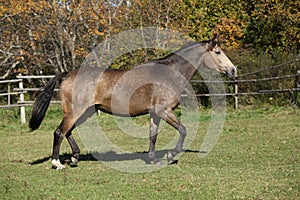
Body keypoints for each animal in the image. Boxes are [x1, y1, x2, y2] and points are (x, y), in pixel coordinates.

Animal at [29, 34, 237, 169]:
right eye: (218, 52)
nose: (233, 70)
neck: (169, 73)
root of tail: (67, 74)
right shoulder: (164, 111)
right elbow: (183, 130)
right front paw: (171, 155)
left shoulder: (155, 114)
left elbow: (153, 136)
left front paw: (154, 159)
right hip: (75, 112)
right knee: (59, 132)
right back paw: (57, 163)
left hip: (84, 112)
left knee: (68, 132)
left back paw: (74, 158)